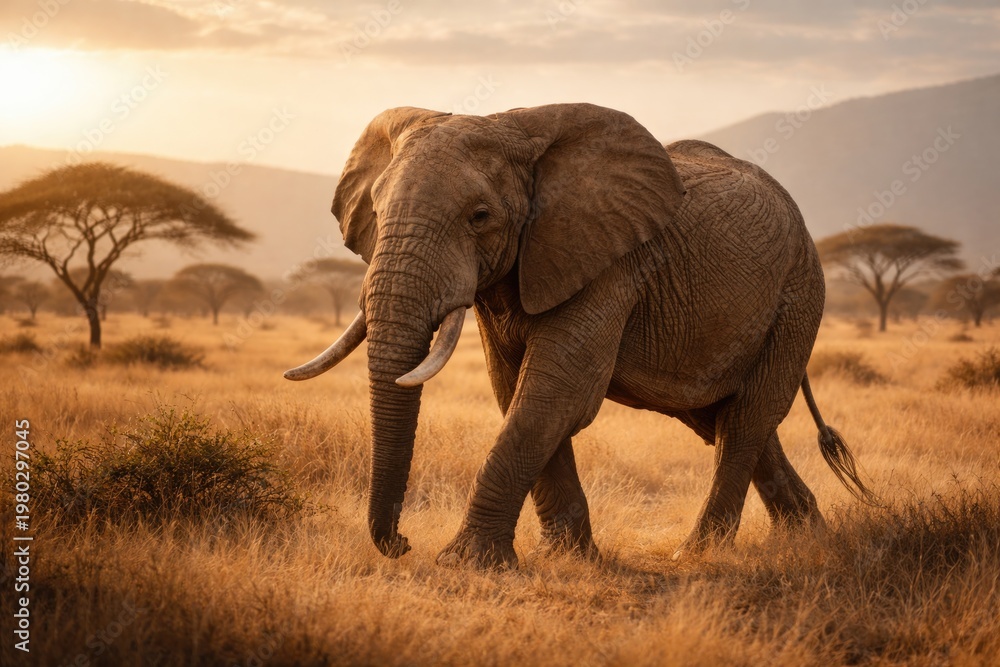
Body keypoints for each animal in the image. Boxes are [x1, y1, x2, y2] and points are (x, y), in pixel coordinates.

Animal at [285, 103, 873, 569]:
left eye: (479, 216)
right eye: (377, 212)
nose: (402, 543)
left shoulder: (611, 264)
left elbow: (555, 395)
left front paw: (466, 563)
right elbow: (515, 392)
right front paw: (567, 556)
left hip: (799, 295)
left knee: (747, 418)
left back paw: (698, 554)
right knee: (727, 419)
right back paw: (809, 537)